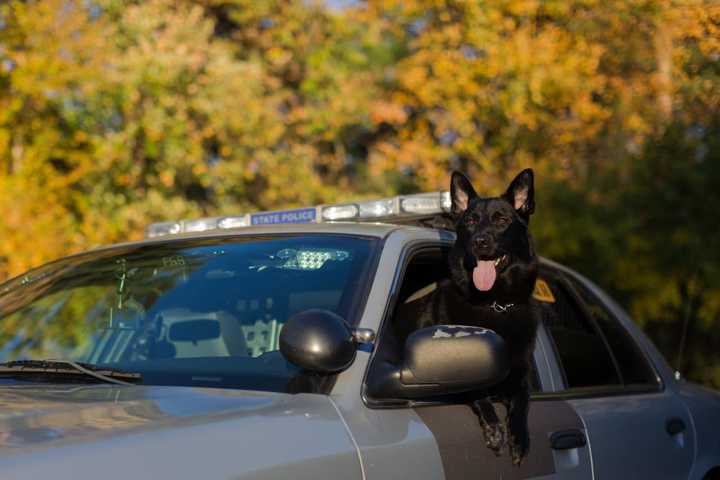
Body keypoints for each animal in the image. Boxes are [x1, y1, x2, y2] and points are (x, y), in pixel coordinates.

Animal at [394, 170, 540, 464]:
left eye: (502, 220)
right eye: (471, 221)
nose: (479, 242)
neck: (495, 303)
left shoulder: (521, 373)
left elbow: (522, 401)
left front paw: (519, 437)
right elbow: (477, 390)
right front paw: (494, 428)